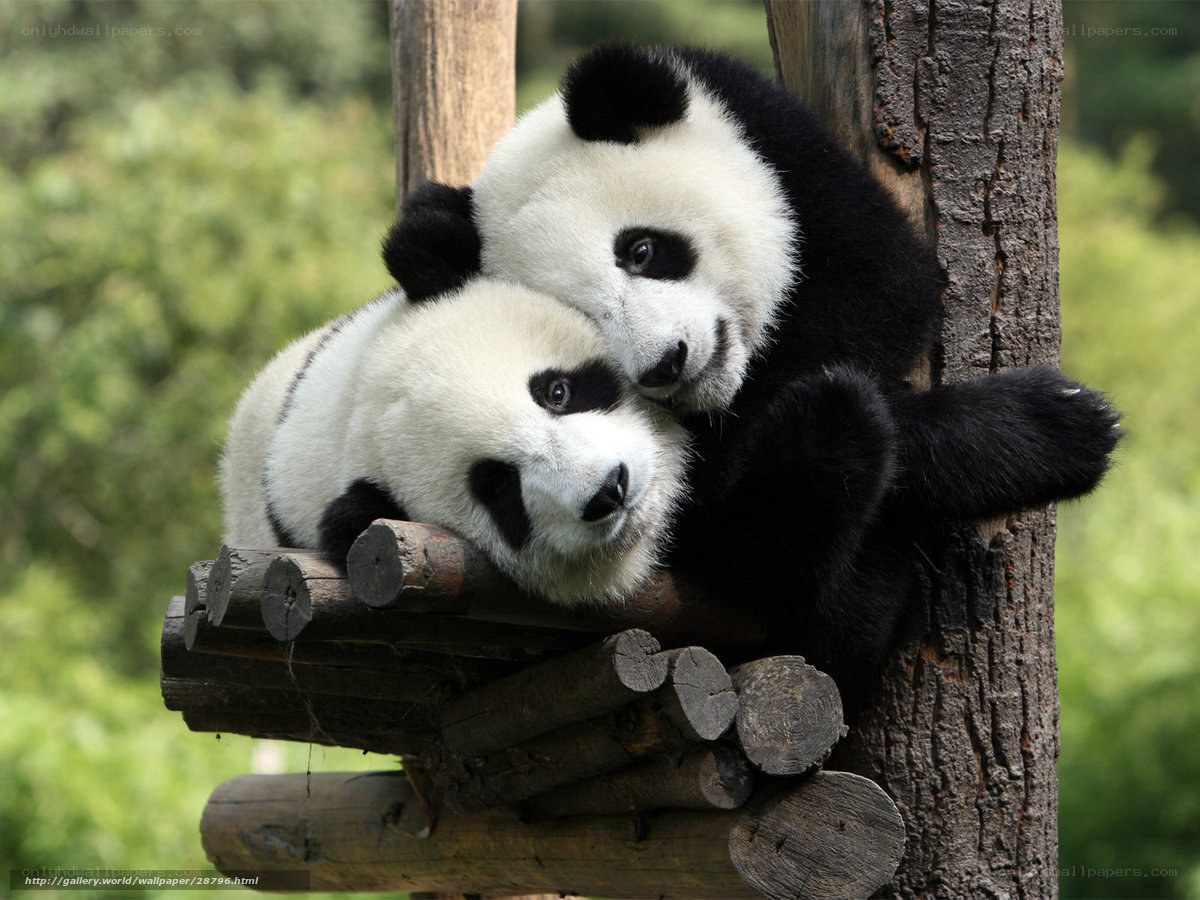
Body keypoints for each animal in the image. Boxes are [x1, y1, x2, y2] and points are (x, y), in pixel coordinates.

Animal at [387, 44, 1120, 710]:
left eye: (642, 250)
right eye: (586, 320)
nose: (667, 362)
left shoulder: (784, 152)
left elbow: (884, 287)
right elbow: (727, 506)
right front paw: (1050, 429)